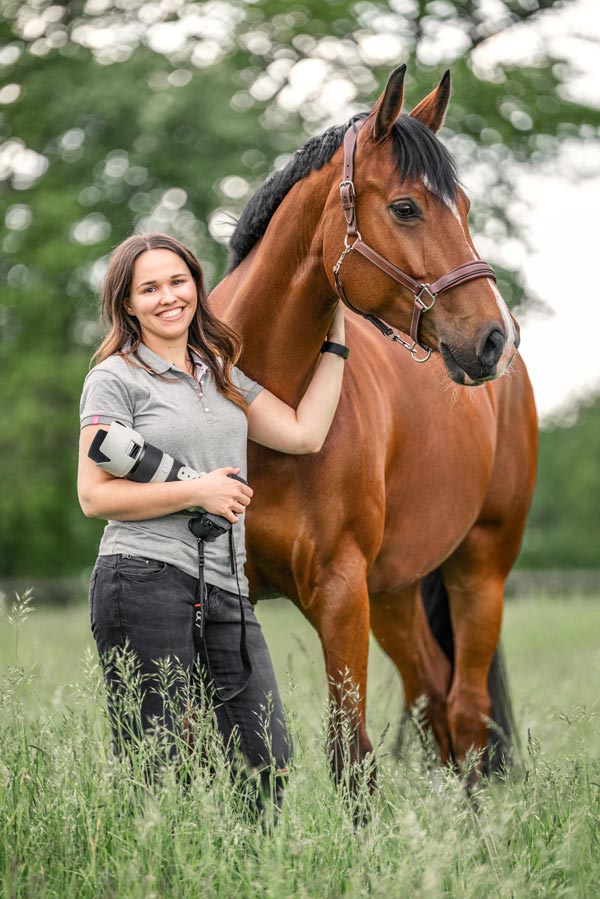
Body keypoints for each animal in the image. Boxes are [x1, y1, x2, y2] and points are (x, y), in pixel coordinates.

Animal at [209, 63, 536, 784]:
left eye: (464, 207)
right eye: (407, 207)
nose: (495, 337)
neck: (266, 412)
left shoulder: (339, 593)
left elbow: (350, 756)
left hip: (479, 570)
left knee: (466, 712)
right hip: (395, 592)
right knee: (434, 698)